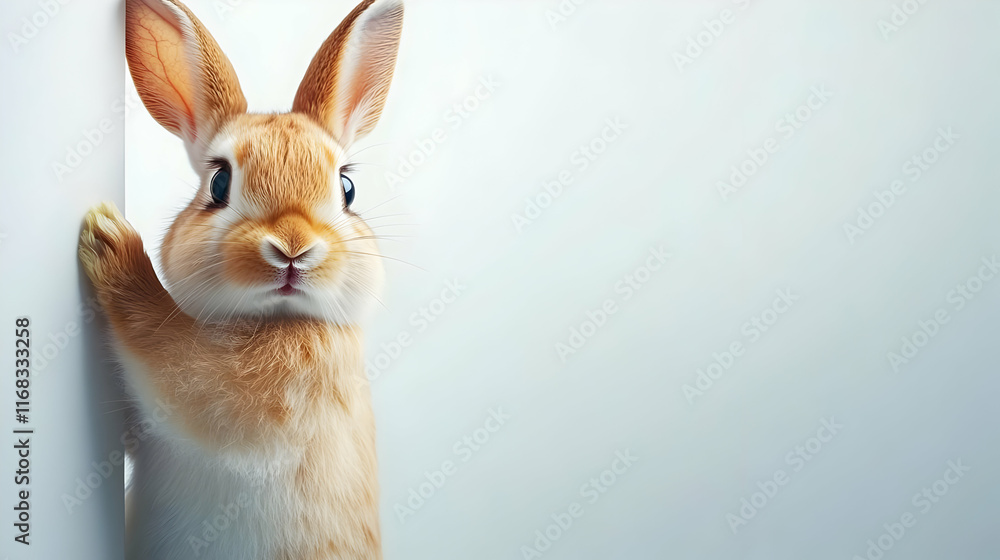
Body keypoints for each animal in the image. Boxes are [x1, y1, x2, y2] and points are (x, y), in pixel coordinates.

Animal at [78, 0, 403, 558]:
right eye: (219, 182)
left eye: (347, 189)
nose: (293, 247)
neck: (276, 319)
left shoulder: (213, 385)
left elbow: (153, 333)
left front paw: (110, 241)